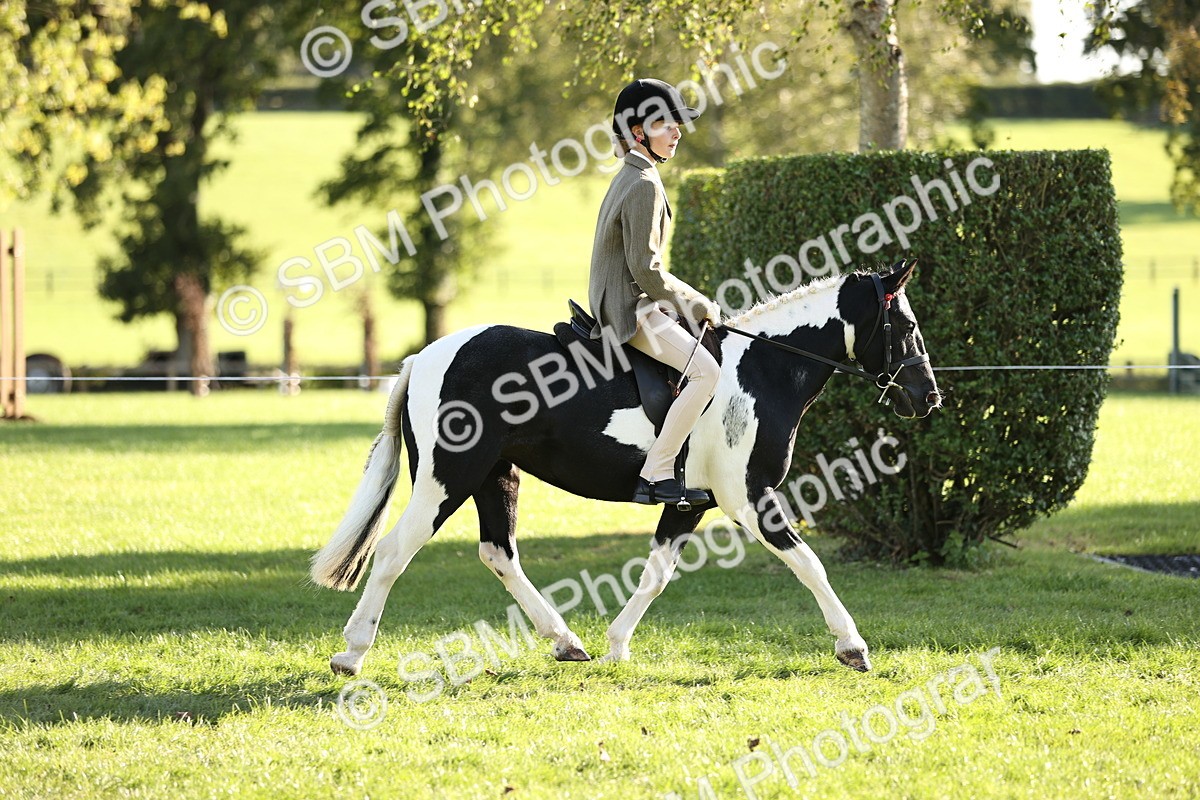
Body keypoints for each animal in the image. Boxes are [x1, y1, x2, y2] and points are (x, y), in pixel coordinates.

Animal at [311, 260, 940, 676]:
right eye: (908, 327)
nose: (928, 396)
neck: (762, 371)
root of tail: (426, 357)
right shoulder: (749, 498)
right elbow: (810, 565)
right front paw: (852, 646)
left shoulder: (688, 503)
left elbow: (656, 574)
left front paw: (616, 645)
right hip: (449, 478)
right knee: (395, 552)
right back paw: (352, 653)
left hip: (495, 476)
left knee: (498, 553)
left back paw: (566, 641)